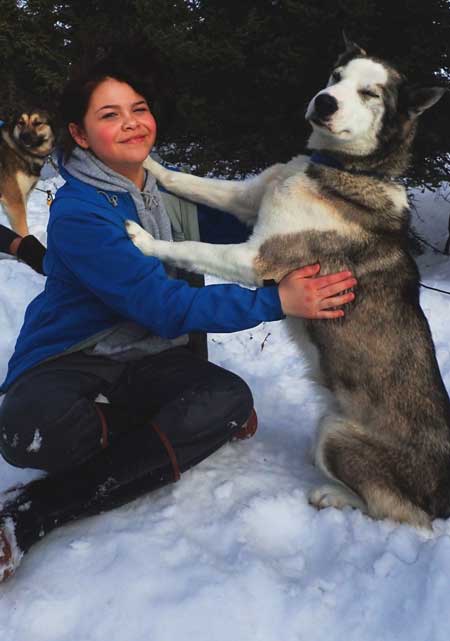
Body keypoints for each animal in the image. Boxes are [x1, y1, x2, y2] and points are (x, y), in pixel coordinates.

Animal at [125, 37, 446, 524]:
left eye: (370, 94)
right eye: (336, 77)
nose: (325, 101)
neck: (341, 169)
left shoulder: (256, 257)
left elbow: (192, 247)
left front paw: (144, 242)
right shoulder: (244, 200)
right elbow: (189, 180)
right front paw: (148, 158)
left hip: (336, 434)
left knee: (401, 514)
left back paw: (333, 497)